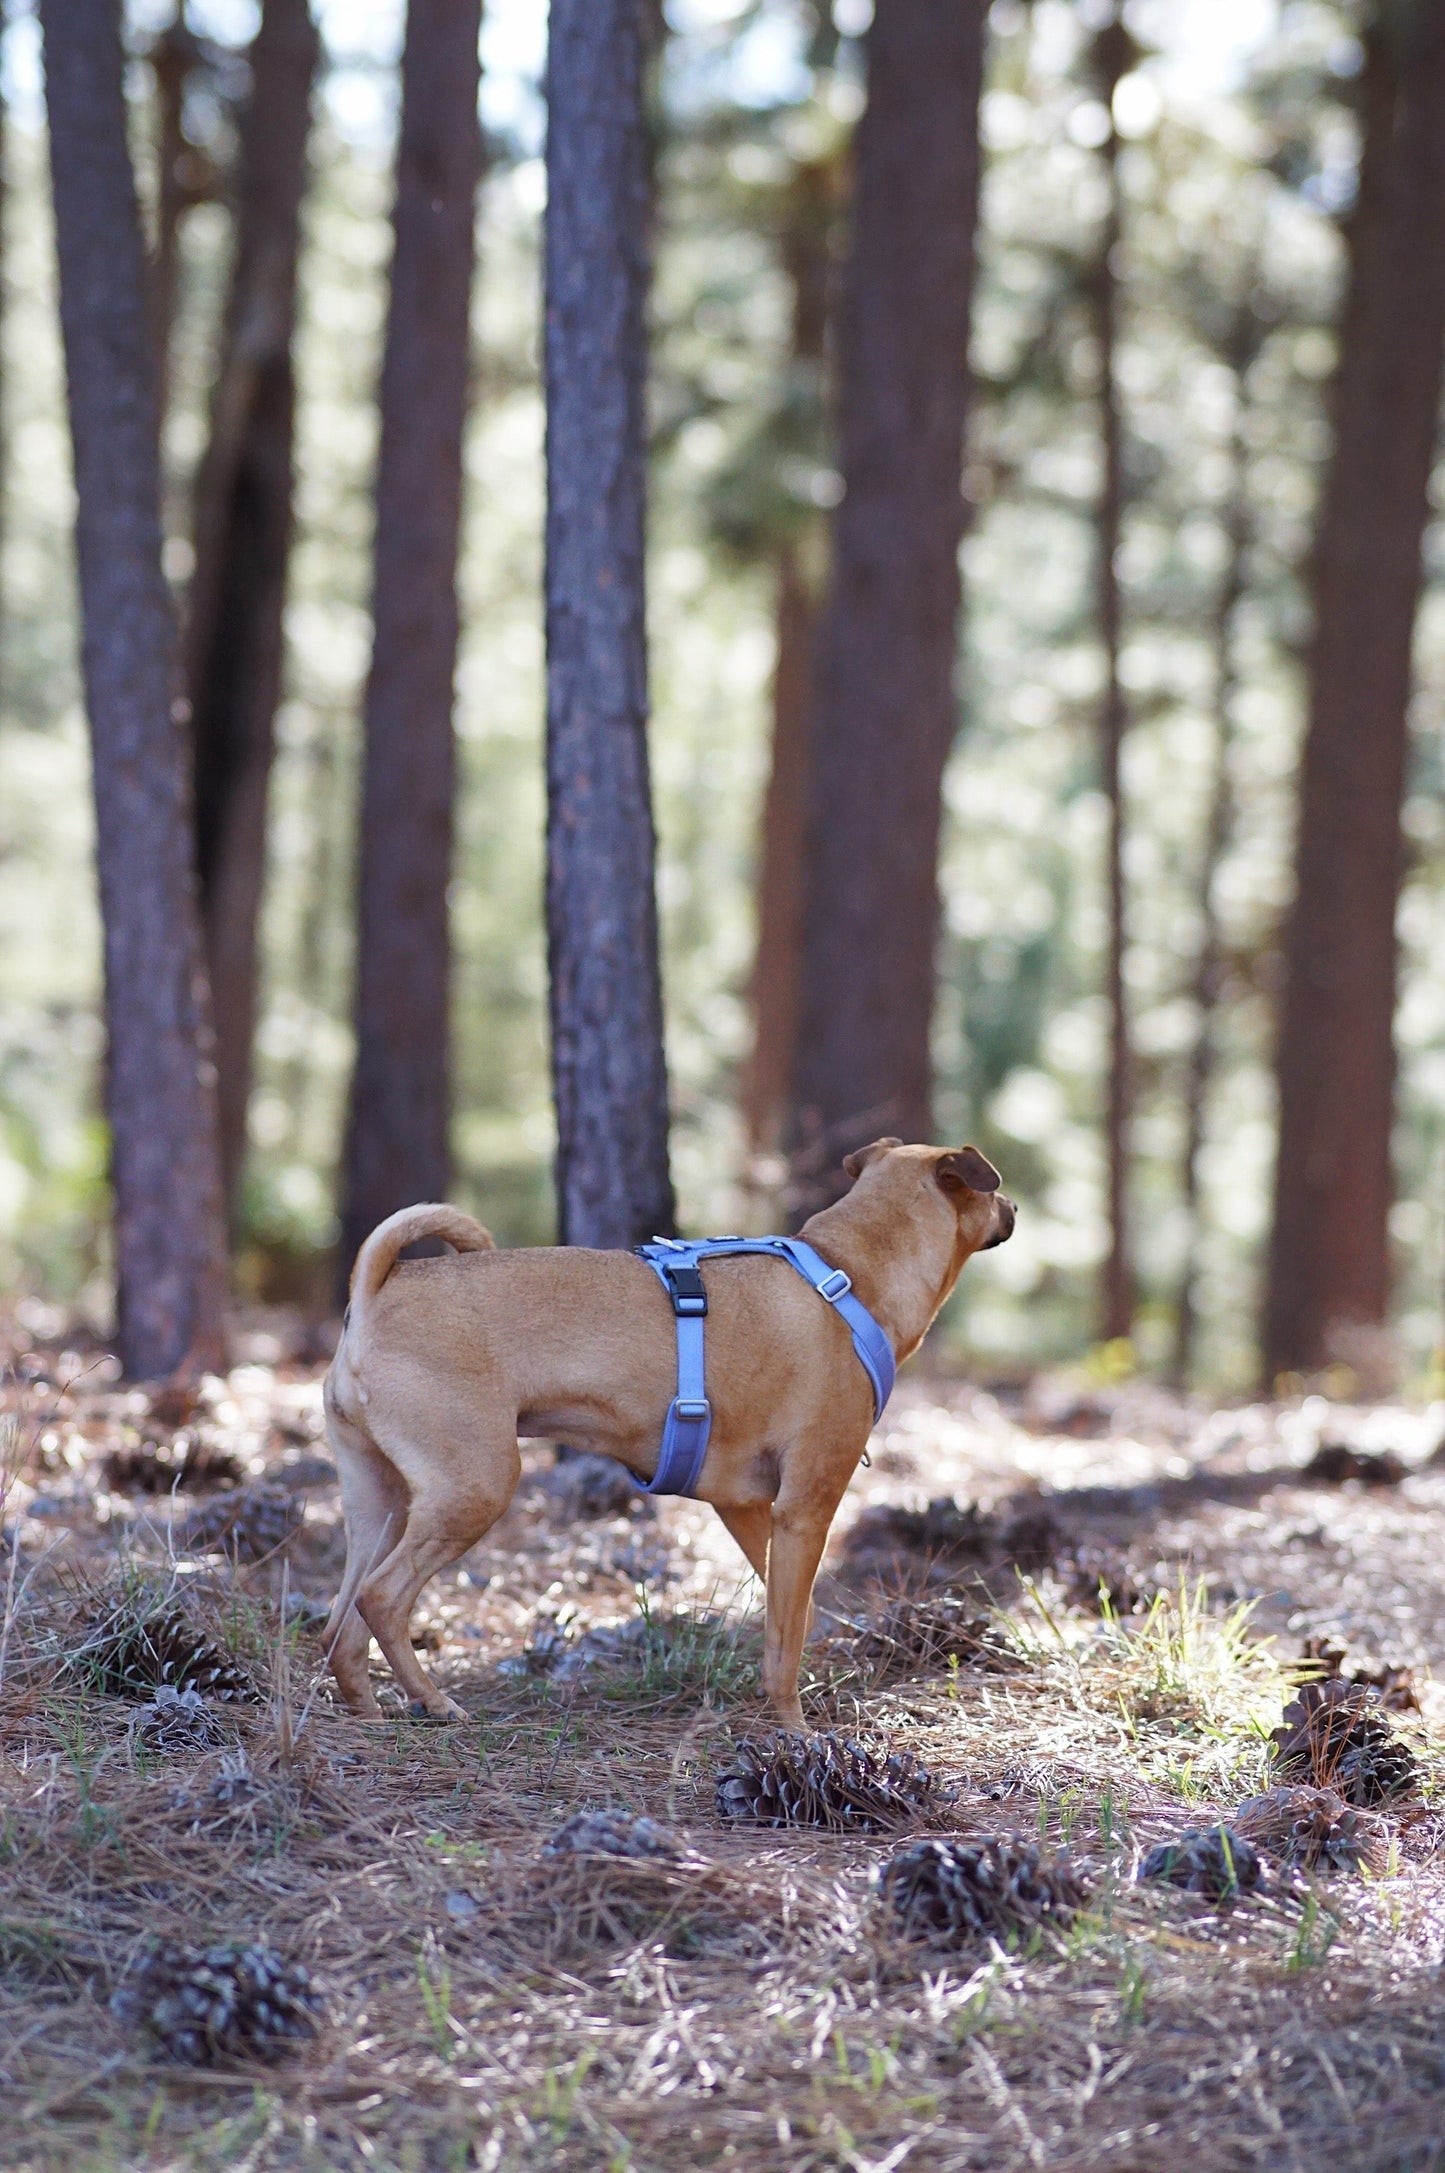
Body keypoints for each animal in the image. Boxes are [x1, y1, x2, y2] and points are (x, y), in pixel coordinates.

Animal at [321, 1138, 1012, 1729]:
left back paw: (367, 1708)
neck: (848, 1274)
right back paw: (435, 1702)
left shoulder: (747, 1507)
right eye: (992, 1191)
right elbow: (785, 1641)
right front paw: (795, 1730)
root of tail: (376, 1290)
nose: (1012, 1207)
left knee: (341, 1626)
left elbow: (794, 1611)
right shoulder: (805, 1508)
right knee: (382, 1599)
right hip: (475, 1489)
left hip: (379, 1503)